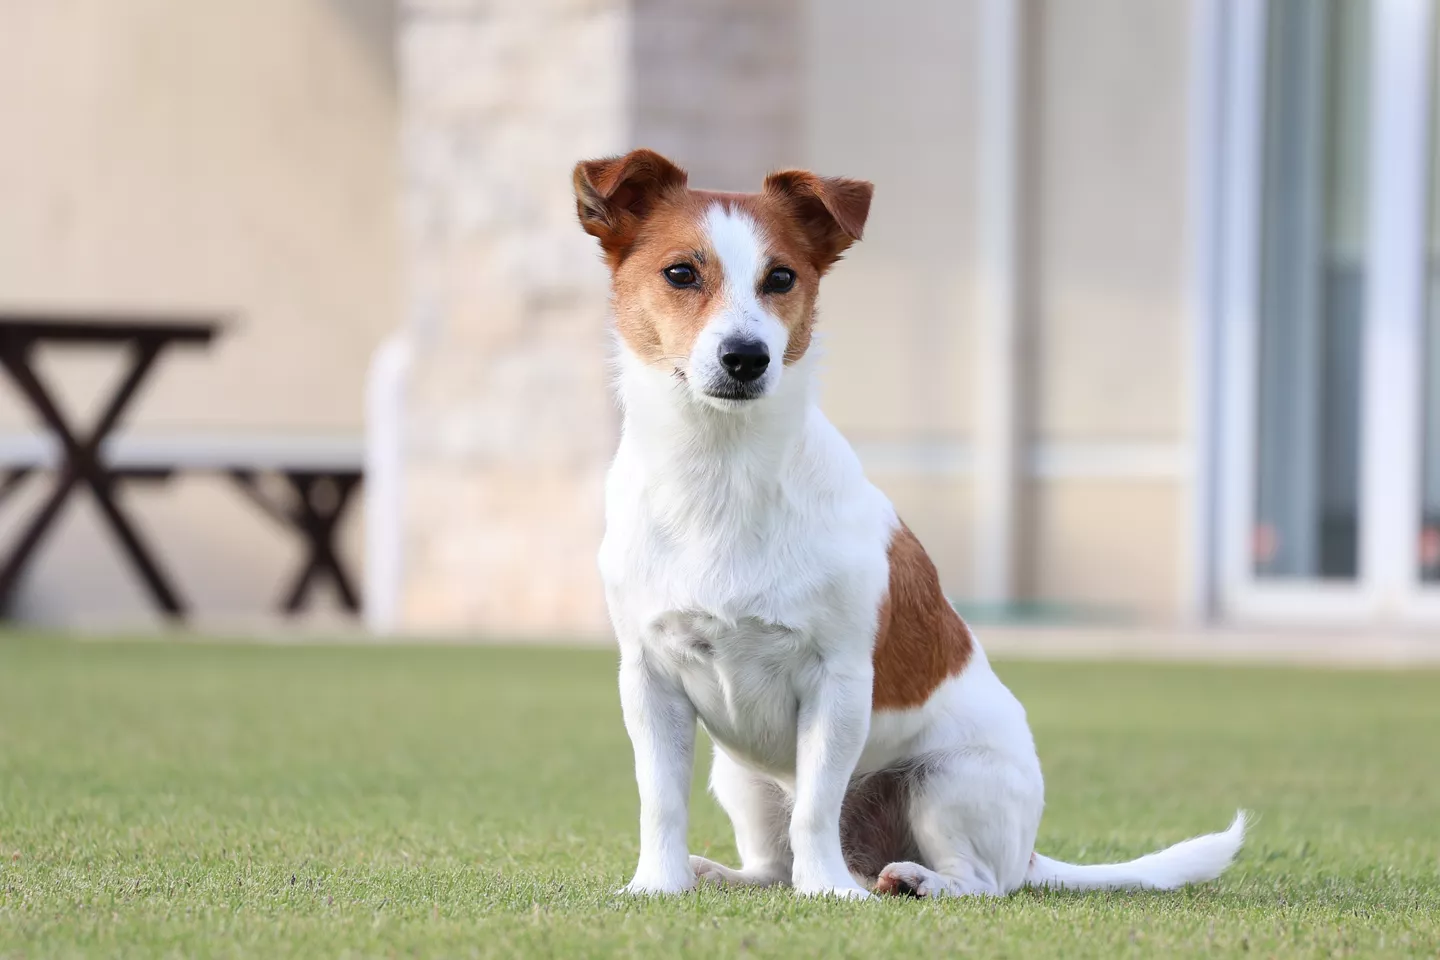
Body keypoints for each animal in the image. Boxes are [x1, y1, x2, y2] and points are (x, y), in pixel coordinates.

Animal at [573, 148, 1249, 903]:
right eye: (680, 274)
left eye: (782, 277)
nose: (747, 357)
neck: (721, 474)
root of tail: (1030, 854)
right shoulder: (649, 679)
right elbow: (661, 799)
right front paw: (656, 885)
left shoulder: (838, 680)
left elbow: (816, 806)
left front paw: (828, 891)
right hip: (744, 778)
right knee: (771, 864)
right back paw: (721, 873)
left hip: (945, 782)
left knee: (977, 879)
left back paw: (911, 880)